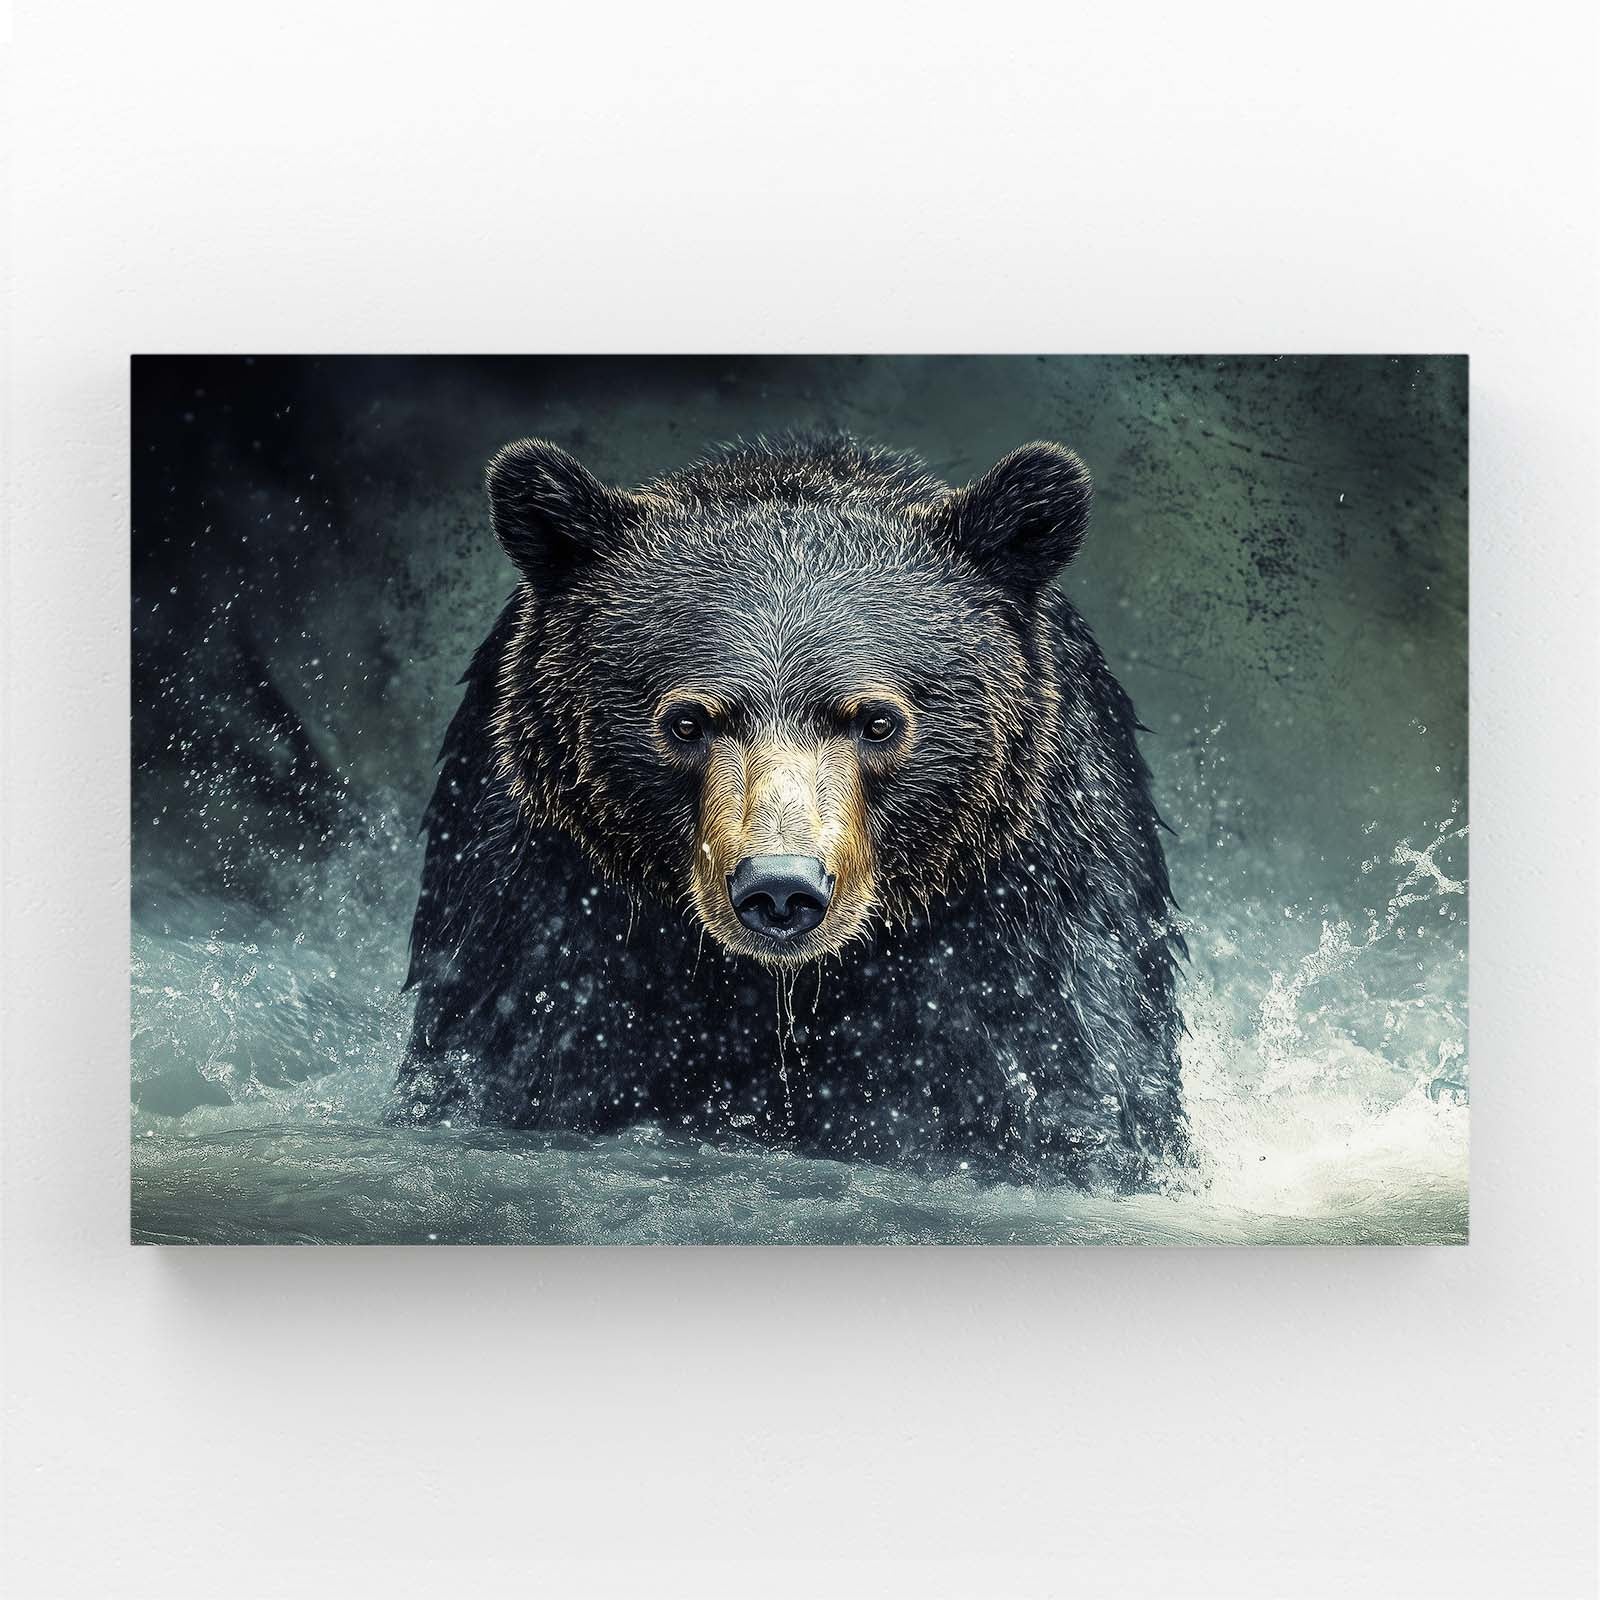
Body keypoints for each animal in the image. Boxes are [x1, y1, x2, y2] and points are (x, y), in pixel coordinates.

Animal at [398, 432, 1186, 1187]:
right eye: (687, 721)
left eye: (878, 720)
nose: (781, 886)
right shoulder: (544, 892)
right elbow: (512, 1049)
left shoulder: (1027, 899)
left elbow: (1062, 1068)